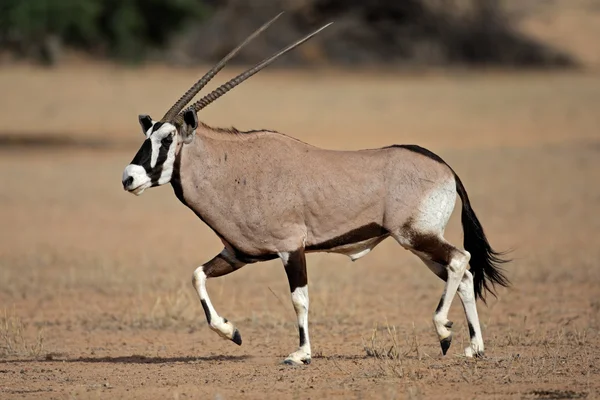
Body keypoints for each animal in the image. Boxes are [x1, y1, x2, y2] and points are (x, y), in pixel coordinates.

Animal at [123, 14, 510, 366]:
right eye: (148, 135)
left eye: (167, 138)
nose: (129, 178)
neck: (234, 168)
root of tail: (446, 169)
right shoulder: (239, 254)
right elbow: (197, 275)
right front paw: (231, 332)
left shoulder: (291, 248)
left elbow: (299, 299)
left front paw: (301, 354)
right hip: (421, 245)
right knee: (464, 275)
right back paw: (473, 348)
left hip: (416, 236)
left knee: (460, 260)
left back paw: (444, 331)